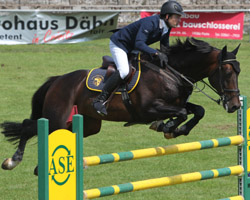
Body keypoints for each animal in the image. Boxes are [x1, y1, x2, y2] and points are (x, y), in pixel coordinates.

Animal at [0, 37, 241, 172]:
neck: (170, 72)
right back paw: (13, 161)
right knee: (29, 126)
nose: (235, 106)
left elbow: (197, 110)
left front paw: (173, 129)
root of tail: (58, 80)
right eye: (228, 72)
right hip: (57, 119)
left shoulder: (177, 103)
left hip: (86, 125)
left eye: (239, 72)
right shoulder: (148, 109)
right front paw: (167, 127)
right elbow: (181, 113)